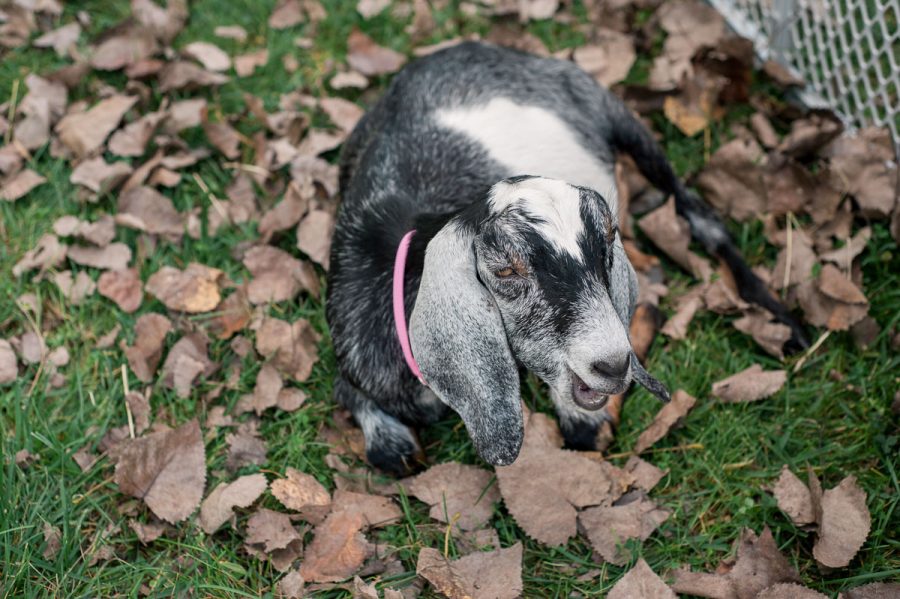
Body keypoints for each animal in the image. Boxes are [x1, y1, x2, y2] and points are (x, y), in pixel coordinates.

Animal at [326, 41, 808, 474]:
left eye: (608, 241)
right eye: (505, 269)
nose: (614, 364)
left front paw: (584, 418)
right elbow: (357, 410)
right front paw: (392, 443)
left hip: (618, 114)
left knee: (702, 217)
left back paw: (787, 325)